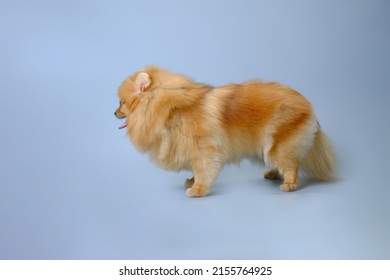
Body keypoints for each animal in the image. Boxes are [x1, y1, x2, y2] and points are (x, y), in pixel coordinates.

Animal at [115, 65, 336, 197]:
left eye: (121, 103)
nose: (114, 112)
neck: (170, 109)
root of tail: (307, 105)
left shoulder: (204, 149)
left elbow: (203, 169)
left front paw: (198, 189)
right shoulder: (192, 149)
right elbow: (195, 169)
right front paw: (192, 181)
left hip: (278, 145)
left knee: (291, 165)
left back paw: (289, 183)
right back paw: (274, 173)